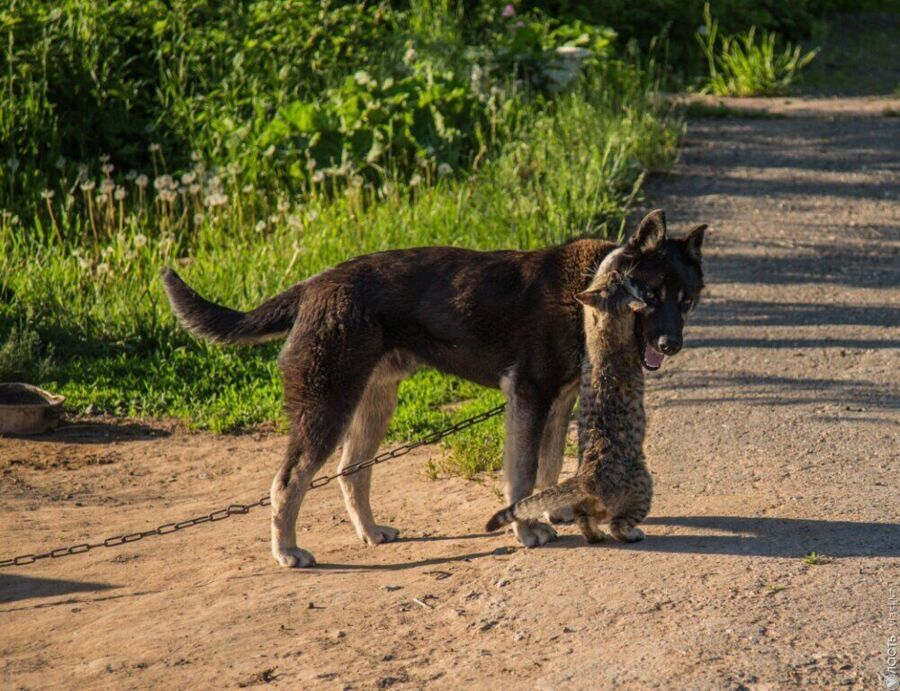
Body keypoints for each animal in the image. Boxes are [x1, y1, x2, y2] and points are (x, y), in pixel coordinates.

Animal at [165, 208, 708, 564]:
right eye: (650, 296)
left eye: (685, 301)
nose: (672, 344)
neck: (591, 284)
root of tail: (312, 287)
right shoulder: (529, 399)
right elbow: (521, 476)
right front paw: (526, 529)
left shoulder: (559, 403)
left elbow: (549, 468)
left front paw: (552, 512)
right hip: (327, 407)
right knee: (288, 482)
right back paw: (288, 551)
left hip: (373, 405)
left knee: (350, 473)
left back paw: (370, 532)